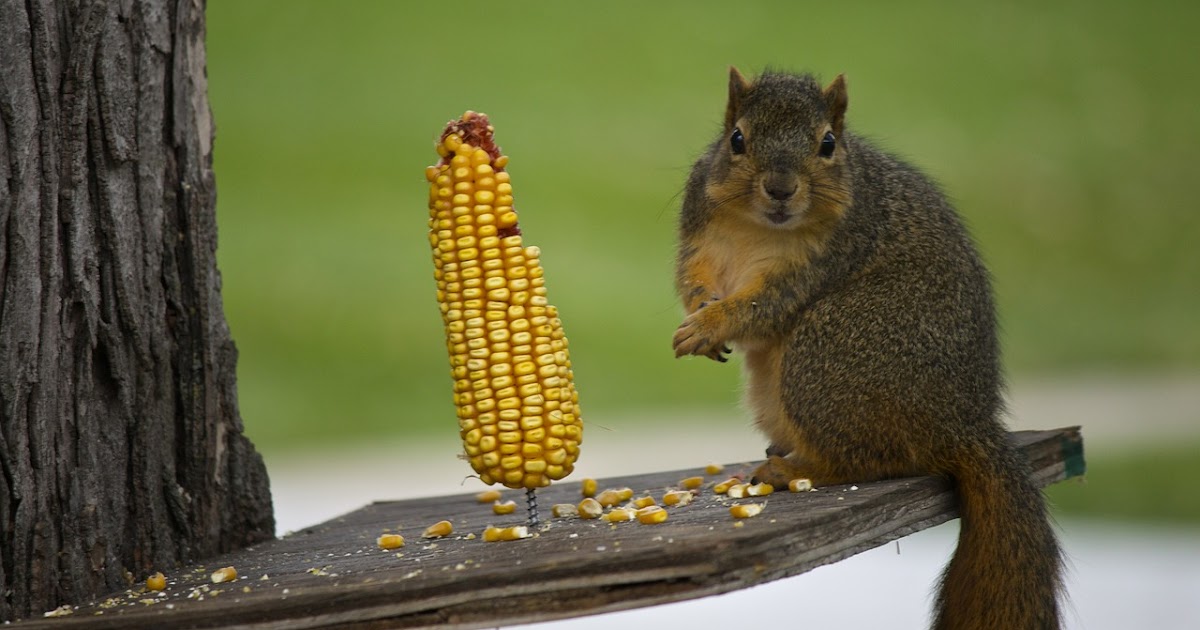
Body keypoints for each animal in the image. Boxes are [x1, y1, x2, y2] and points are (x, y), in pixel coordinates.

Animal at [673, 68, 1063, 630]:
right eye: (737, 139)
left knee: (871, 462)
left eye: (827, 144)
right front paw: (697, 315)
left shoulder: (827, 257)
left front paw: (712, 324)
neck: (757, 228)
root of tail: (962, 425)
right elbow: (692, 277)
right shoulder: (701, 230)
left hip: (830, 352)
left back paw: (796, 470)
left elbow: (765, 308)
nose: (780, 189)